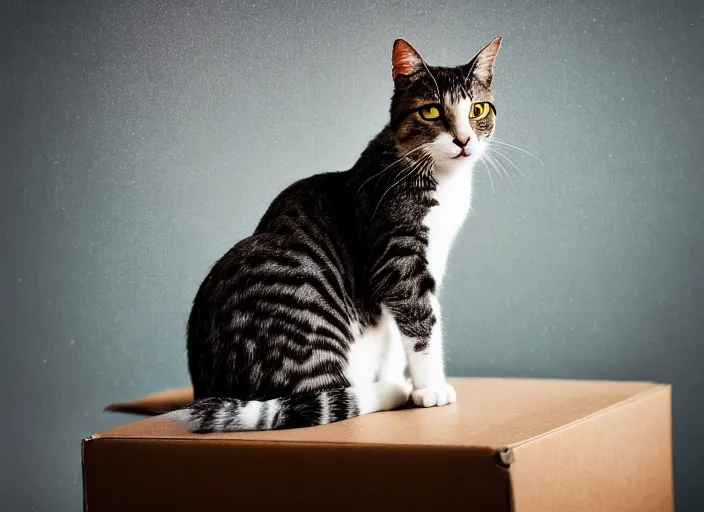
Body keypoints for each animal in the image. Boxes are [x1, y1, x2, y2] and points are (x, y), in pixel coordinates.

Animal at [167, 37, 500, 432]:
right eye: (431, 111)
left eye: (478, 110)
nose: (464, 140)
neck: (442, 180)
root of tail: (208, 388)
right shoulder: (398, 261)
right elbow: (422, 325)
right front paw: (430, 389)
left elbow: (396, 336)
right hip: (307, 315)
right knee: (322, 400)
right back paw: (389, 390)